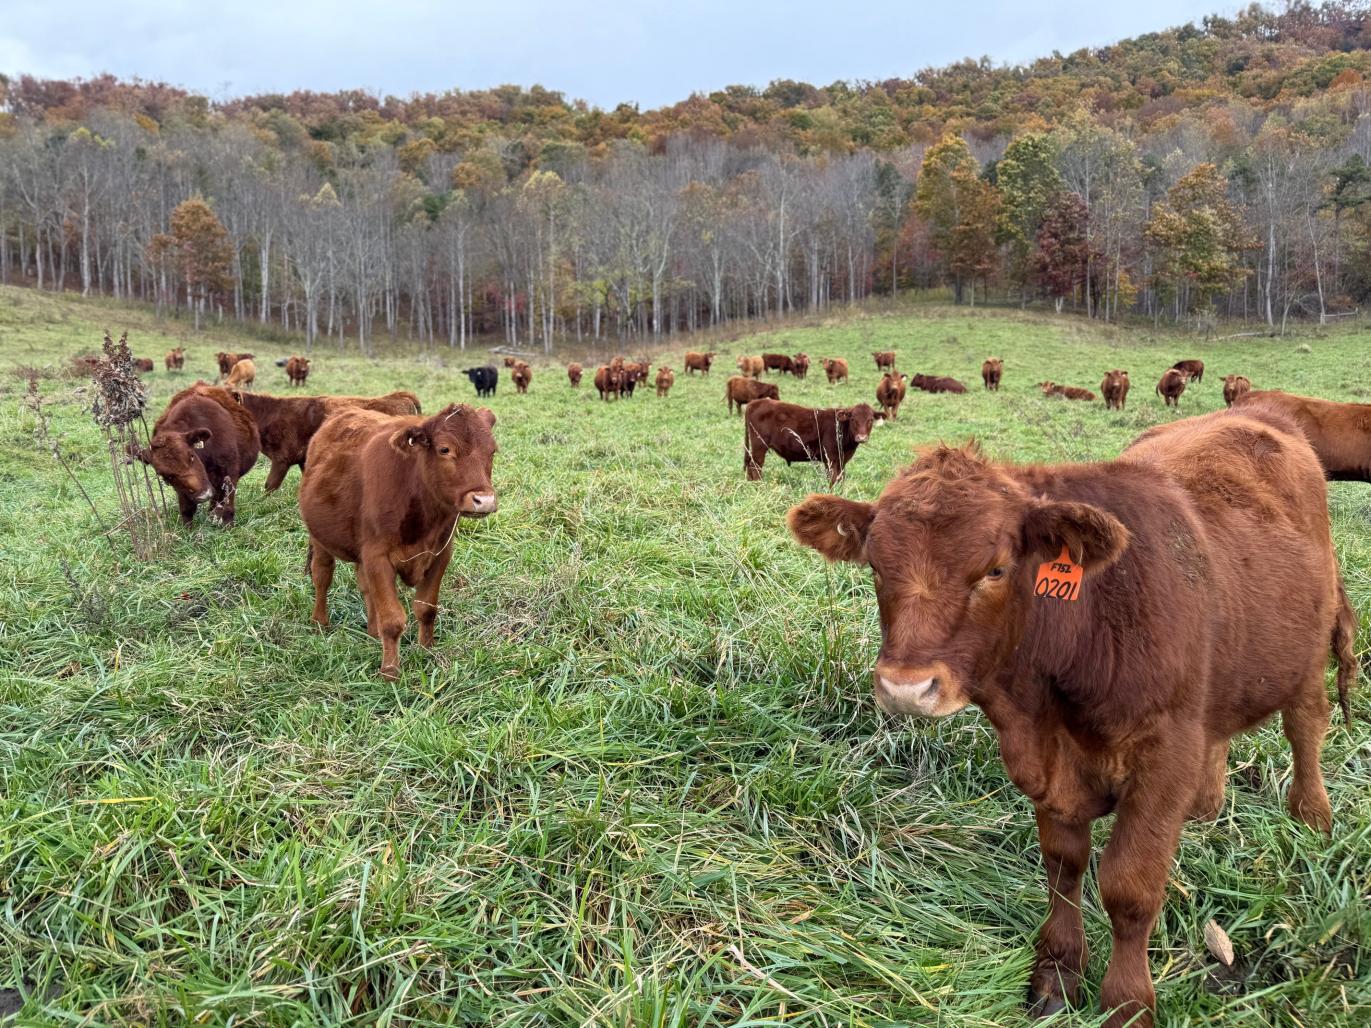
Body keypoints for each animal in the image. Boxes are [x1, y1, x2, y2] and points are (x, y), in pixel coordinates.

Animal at [135, 383, 260, 525]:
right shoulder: (181, 490)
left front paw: (228, 525)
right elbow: (186, 509)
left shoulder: (230, 472)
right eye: (165, 475)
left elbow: (228, 505)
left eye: (191, 456)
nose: (203, 494)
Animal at [299, 403, 498, 680]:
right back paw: (319, 622)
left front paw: (426, 650)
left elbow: (426, 608)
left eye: (492, 451)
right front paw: (390, 672)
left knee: (365, 586)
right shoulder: (378, 557)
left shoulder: (440, 554)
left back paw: (372, 632)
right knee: (322, 576)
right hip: (319, 539)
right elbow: (393, 619)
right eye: (444, 449)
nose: (483, 500)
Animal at [744, 400, 877, 483]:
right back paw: (760, 486)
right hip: (759, 445)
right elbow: (832, 480)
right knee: (755, 466)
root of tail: (755, 402)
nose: (862, 437)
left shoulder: (841, 461)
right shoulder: (830, 459)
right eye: (853, 419)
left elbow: (840, 479)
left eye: (871, 420)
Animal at [786, 410, 1357, 1028]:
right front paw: (1058, 973)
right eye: (873, 565)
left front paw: (1127, 1002)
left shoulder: (1163, 758)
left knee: (1306, 727)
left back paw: (1312, 819)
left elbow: (1130, 887)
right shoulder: (1050, 766)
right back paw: (1205, 809)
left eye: (996, 569)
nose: (906, 687)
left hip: (1305, 656)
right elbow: (1063, 867)